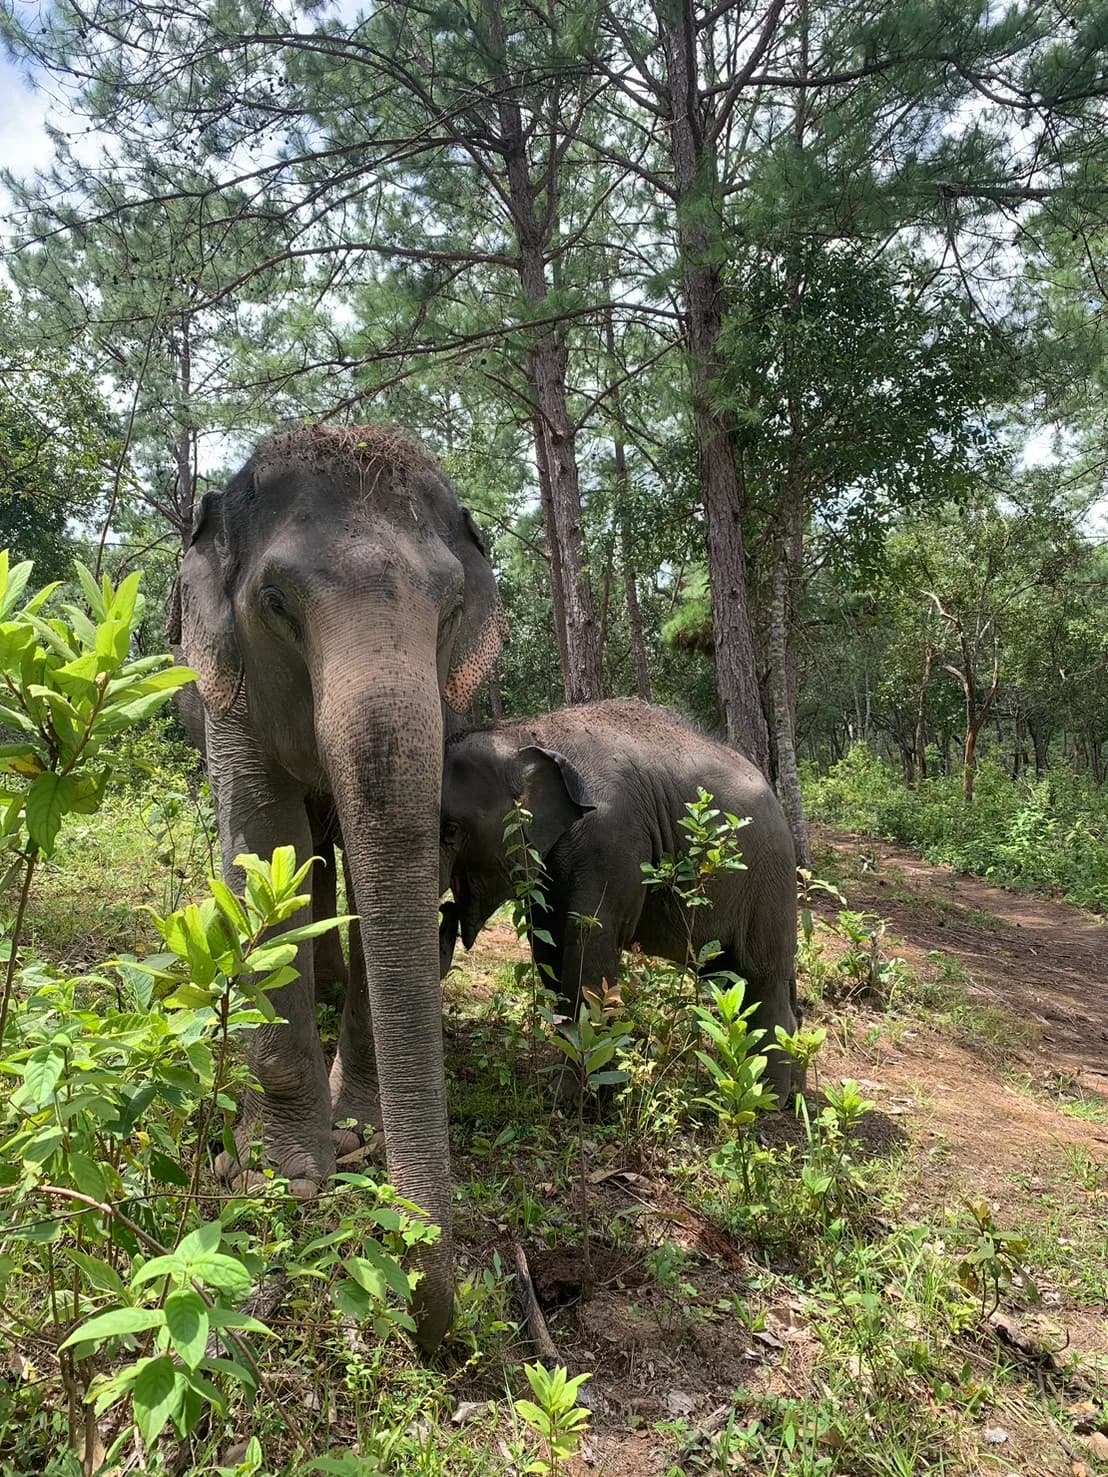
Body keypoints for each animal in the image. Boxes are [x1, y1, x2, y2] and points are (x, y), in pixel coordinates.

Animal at [179, 423, 505, 1350]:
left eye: (450, 608)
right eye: (276, 603)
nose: (428, 1321)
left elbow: (390, 858)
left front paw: (360, 1135)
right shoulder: (233, 700)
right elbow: (262, 842)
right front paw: (287, 1178)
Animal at [438, 700, 801, 1099]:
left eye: (451, 830)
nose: (447, 913)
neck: (523, 731)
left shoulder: (610, 842)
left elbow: (587, 947)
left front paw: (571, 1096)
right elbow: (549, 951)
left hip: (769, 878)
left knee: (760, 977)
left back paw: (765, 1097)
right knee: (737, 977)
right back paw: (789, 1092)